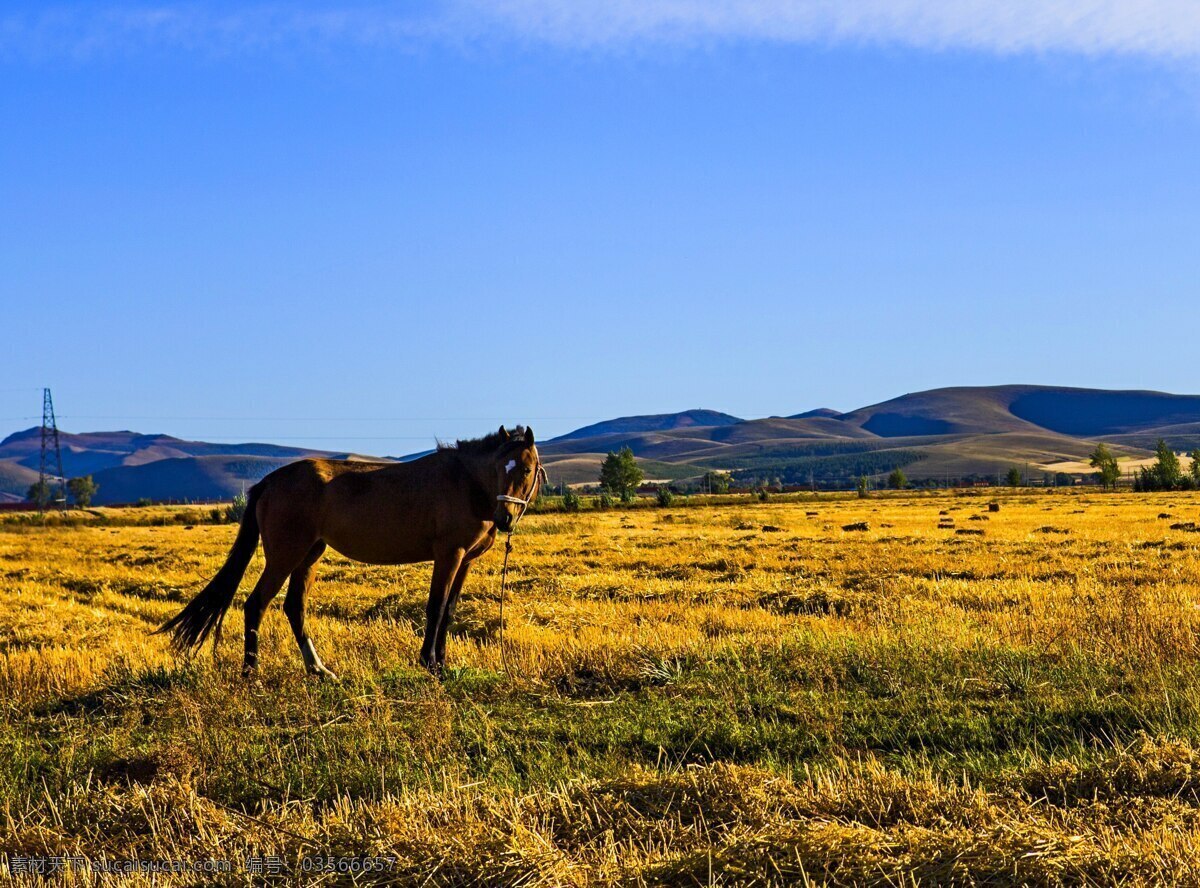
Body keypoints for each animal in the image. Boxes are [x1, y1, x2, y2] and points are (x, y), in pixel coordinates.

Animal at [157, 427, 542, 676]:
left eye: (525, 468)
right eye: (500, 467)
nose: (505, 517)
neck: (466, 483)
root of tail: (270, 481)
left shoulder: (464, 561)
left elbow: (448, 611)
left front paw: (442, 662)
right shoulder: (449, 554)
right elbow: (435, 608)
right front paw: (429, 665)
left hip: (309, 554)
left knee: (294, 607)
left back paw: (318, 669)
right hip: (285, 555)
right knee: (256, 604)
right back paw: (252, 672)